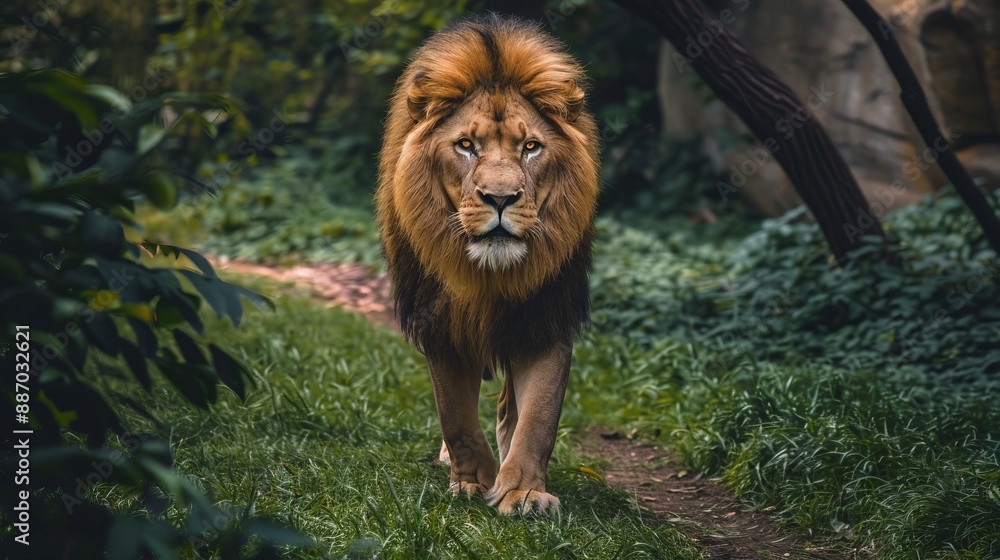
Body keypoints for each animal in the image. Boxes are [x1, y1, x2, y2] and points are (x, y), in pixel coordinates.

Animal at [375, 14, 599, 515]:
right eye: (465, 145)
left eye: (531, 147)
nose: (500, 198)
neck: (490, 275)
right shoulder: (439, 320)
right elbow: (455, 415)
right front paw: (472, 481)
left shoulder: (546, 316)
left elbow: (539, 417)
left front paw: (525, 492)